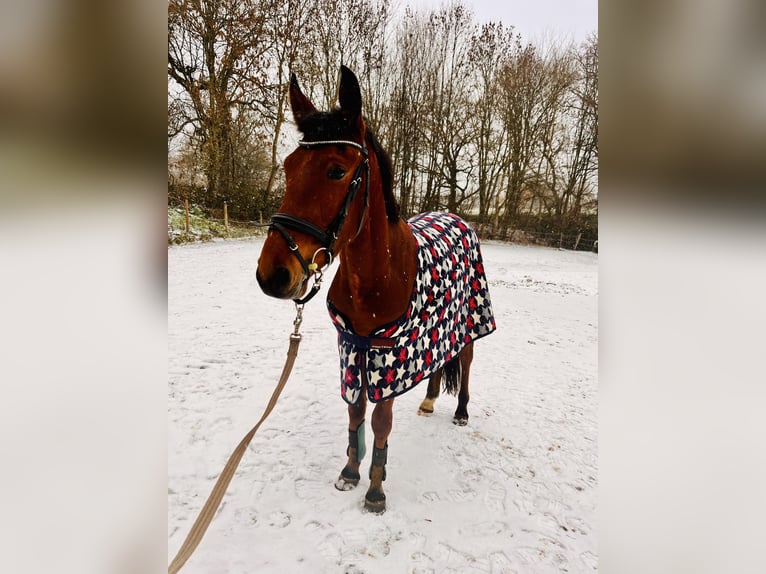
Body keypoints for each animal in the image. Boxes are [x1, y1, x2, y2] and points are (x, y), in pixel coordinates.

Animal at [256, 65, 496, 513]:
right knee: (438, 363)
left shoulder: (388, 354)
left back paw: (460, 411)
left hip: (468, 323)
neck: (375, 277)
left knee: (466, 360)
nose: (272, 275)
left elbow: (381, 422)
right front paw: (350, 472)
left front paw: (375, 490)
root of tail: (458, 218)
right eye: (288, 166)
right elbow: (355, 414)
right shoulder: (352, 349)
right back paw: (429, 400)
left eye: (336, 170)